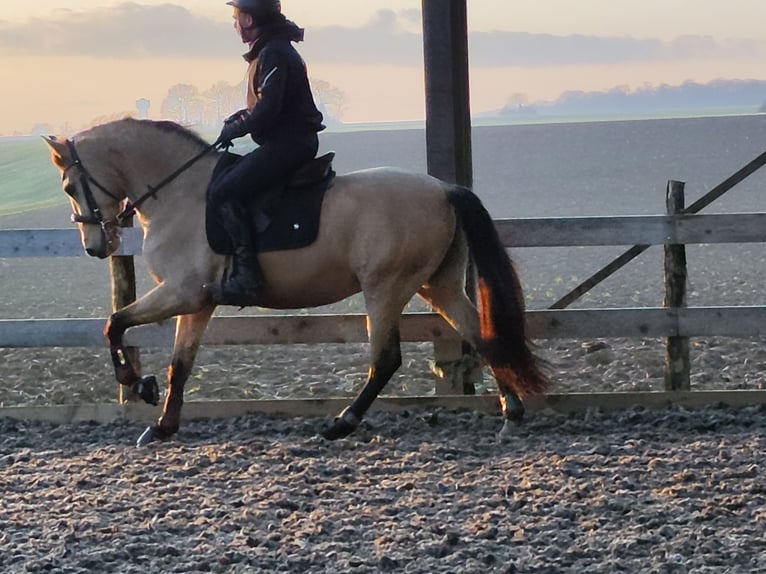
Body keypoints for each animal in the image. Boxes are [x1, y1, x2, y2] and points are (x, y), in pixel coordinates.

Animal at [43, 119, 552, 448]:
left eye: (69, 187)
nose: (96, 246)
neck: (179, 193)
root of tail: (445, 188)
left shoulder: (181, 293)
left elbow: (114, 324)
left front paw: (139, 385)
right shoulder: (198, 302)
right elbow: (179, 365)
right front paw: (164, 424)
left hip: (386, 287)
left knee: (386, 359)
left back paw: (341, 424)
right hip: (438, 285)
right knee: (482, 335)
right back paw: (511, 414)